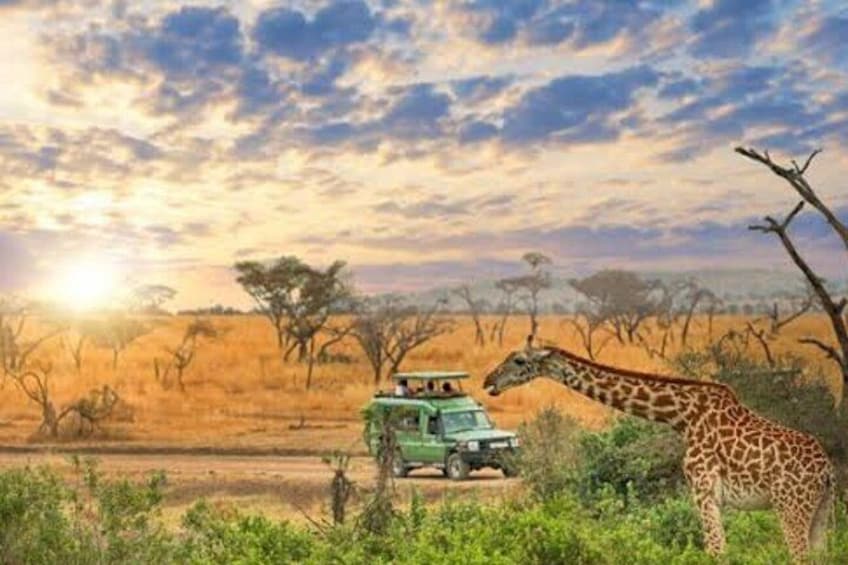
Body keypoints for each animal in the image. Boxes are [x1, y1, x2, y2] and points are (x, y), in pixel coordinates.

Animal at [483, 339, 835, 562]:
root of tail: (827, 471)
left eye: (519, 361)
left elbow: (716, 552)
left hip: (790, 507)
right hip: (820, 510)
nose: (488, 381)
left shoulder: (703, 491)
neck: (682, 416)